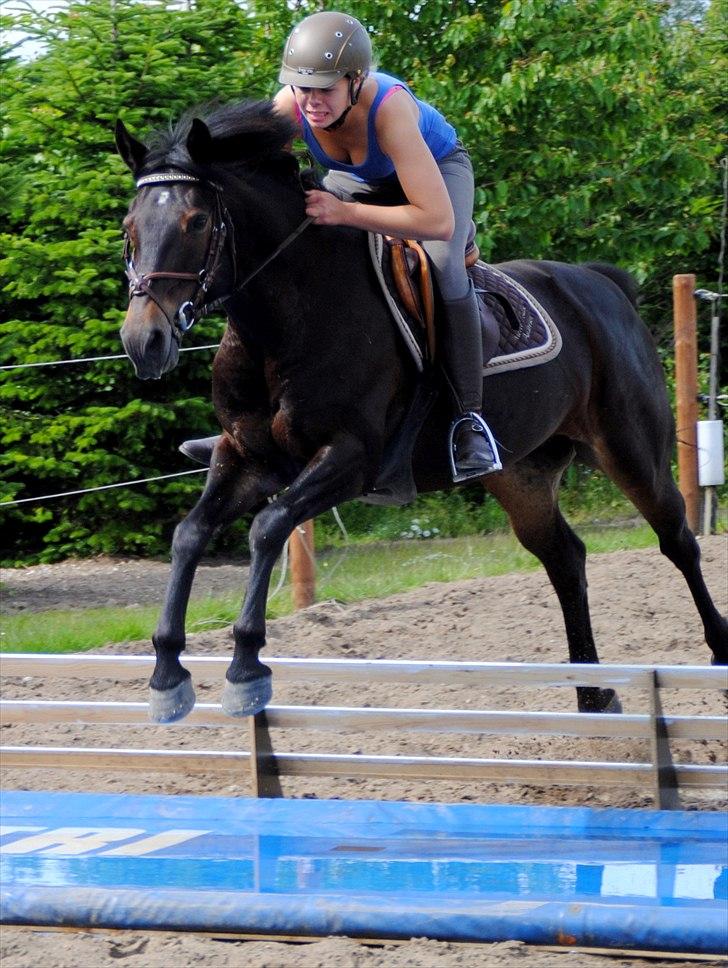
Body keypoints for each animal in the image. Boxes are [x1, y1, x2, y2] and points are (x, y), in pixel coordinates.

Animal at [115, 99, 727, 724]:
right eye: (128, 228)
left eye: (196, 222)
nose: (145, 342)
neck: (287, 317)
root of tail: (603, 284)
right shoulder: (248, 458)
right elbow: (190, 534)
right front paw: (167, 675)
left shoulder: (350, 459)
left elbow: (267, 527)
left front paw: (246, 668)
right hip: (522, 474)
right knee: (564, 557)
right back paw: (592, 693)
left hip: (628, 448)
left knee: (676, 539)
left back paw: (714, 656)